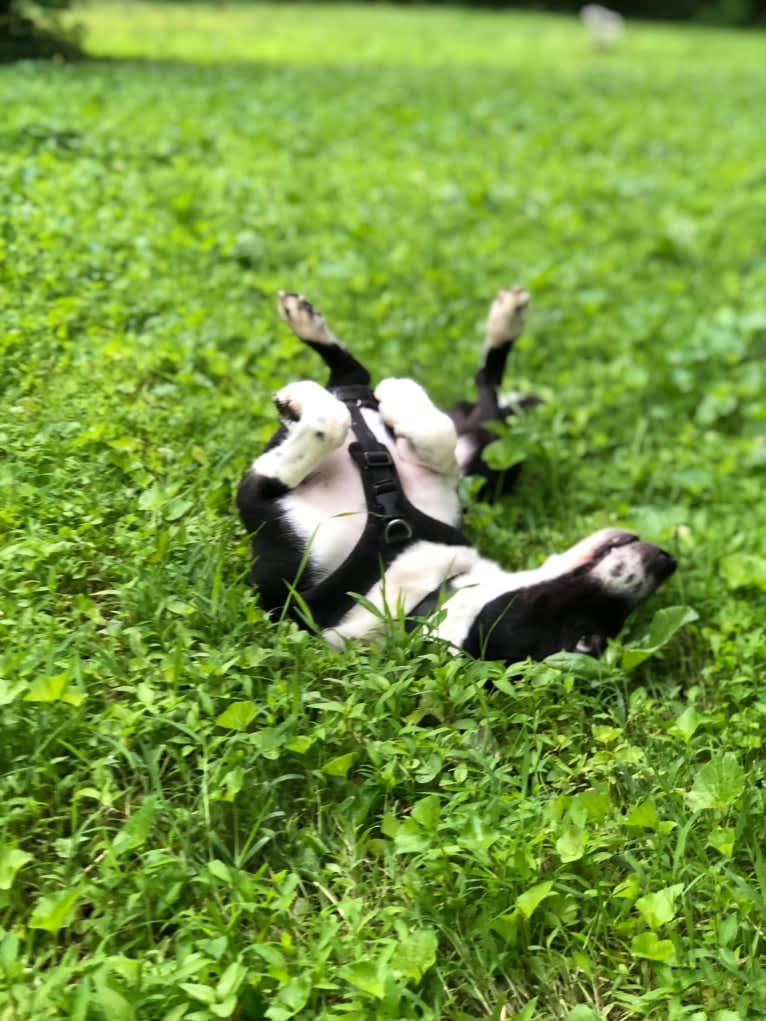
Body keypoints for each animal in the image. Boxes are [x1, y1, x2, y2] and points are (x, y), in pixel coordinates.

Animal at [236, 287, 674, 661]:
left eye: (587, 638)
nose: (665, 561)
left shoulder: (264, 504)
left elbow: (330, 423)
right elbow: (433, 435)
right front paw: (394, 399)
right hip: (490, 455)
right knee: (398, 380)